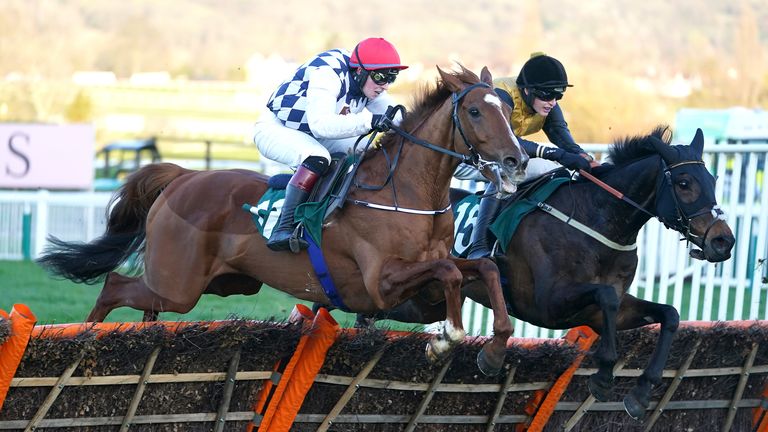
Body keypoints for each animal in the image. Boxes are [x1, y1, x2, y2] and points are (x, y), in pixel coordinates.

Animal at [39, 66, 532, 376]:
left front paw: (492, 350)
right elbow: (449, 271)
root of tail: (184, 176)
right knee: (113, 286)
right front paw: (446, 338)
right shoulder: (380, 282)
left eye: (509, 111)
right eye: (475, 111)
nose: (517, 160)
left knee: (147, 307)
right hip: (179, 284)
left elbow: (481, 268)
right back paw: (87, 337)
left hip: (220, 284)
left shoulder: (421, 284)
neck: (405, 193)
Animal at [356, 125, 736, 418]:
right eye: (684, 182)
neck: (598, 220)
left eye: (713, 178)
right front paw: (603, 374)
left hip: (423, 302)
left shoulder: (601, 312)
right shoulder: (546, 303)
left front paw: (640, 394)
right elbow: (606, 297)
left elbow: (668, 314)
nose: (723, 241)